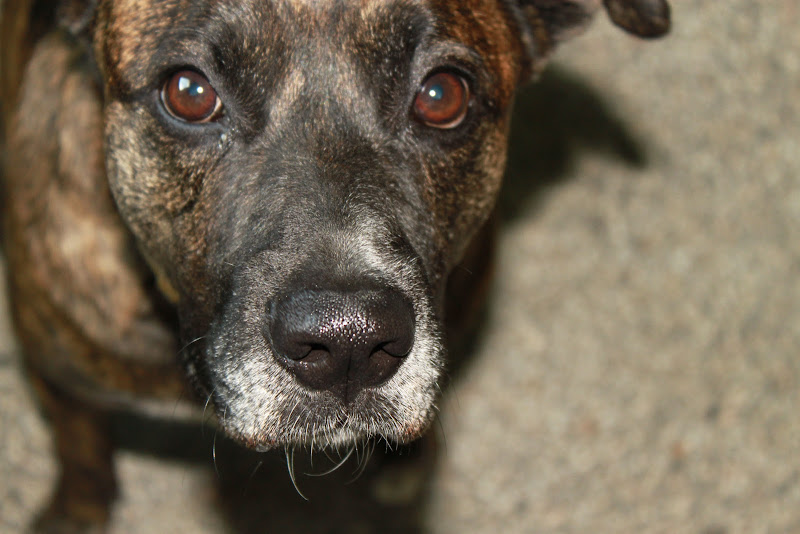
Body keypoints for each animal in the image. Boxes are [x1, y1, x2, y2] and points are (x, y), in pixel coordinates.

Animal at [1, 0, 669, 531]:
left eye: (442, 95)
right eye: (189, 93)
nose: (349, 343)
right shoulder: (58, 377)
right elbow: (82, 452)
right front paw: (76, 512)